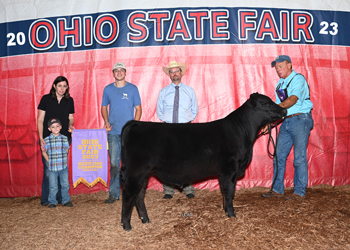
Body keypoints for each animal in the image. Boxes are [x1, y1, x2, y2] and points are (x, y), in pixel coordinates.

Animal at [119, 93, 286, 230]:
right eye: (265, 103)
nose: (284, 111)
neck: (242, 132)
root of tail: (136, 123)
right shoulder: (230, 169)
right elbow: (230, 192)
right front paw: (231, 214)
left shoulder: (224, 173)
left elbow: (225, 192)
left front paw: (226, 211)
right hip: (136, 171)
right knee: (128, 193)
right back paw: (126, 225)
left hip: (144, 173)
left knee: (139, 195)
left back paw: (145, 220)